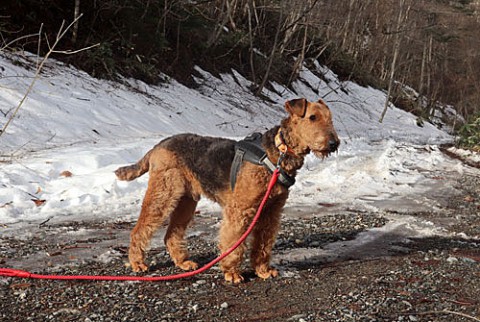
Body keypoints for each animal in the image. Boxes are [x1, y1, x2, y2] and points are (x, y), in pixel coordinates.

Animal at [115, 97, 342, 282]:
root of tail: (158, 146)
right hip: (163, 195)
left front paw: (263, 270)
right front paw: (232, 273)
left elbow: (263, 243)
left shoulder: (271, 211)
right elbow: (234, 242)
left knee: (172, 234)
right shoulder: (240, 210)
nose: (333, 143)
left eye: (330, 118)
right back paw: (137, 263)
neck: (278, 152)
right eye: (312, 117)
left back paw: (183, 263)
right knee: (140, 229)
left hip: (186, 201)